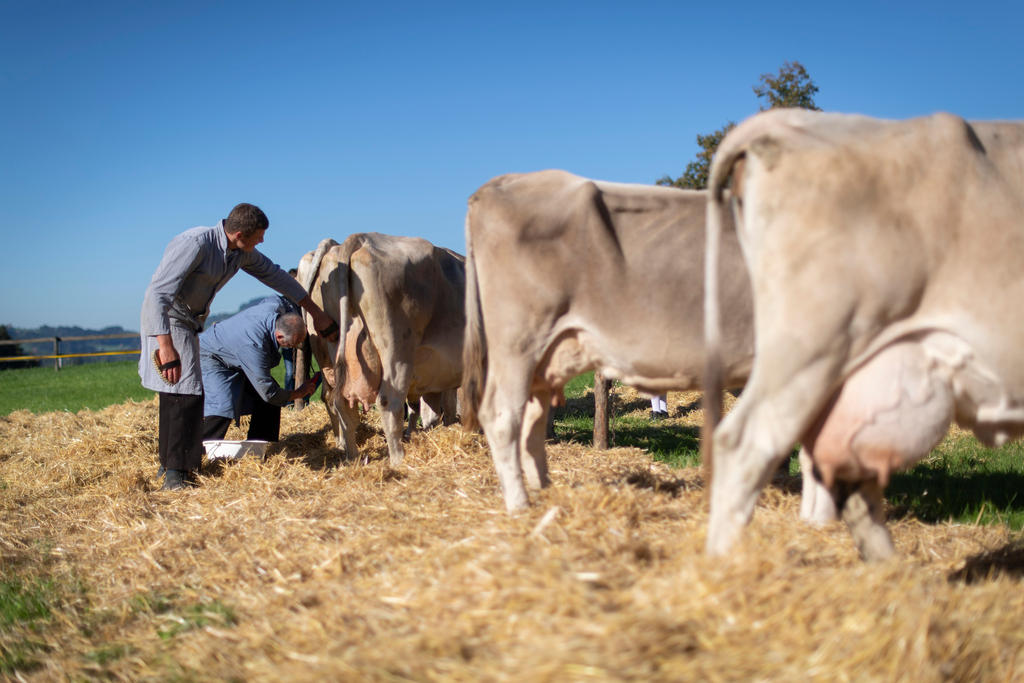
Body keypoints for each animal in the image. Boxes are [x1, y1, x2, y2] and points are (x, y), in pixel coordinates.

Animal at [294, 233, 466, 464]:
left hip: (334, 347)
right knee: (388, 401)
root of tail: (363, 238)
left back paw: (352, 456)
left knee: (338, 402)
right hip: (396, 351)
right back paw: (398, 459)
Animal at [464, 169, 753, 511]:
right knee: (503, 415)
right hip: (517, 340)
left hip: (544, 357)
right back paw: (520, 505)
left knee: (532, 420)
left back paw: (545, 492)